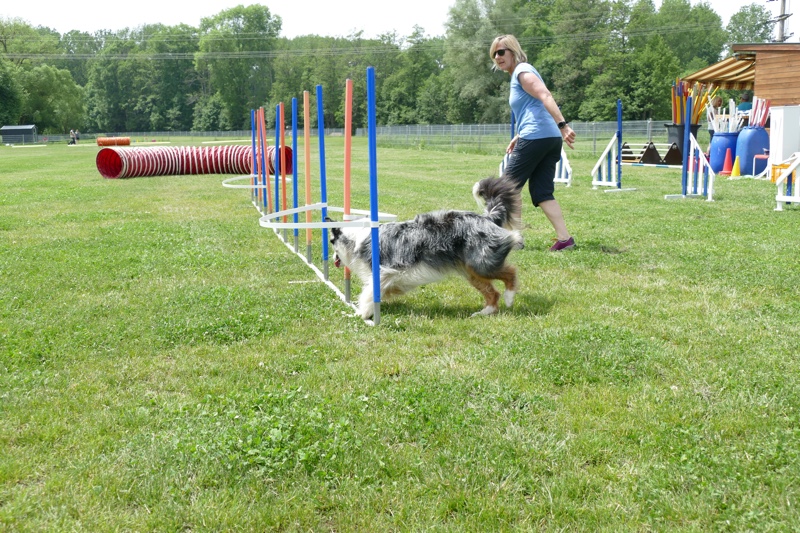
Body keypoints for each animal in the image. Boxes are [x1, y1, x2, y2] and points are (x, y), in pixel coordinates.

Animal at [330, 176, 523, 319]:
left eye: (331, 241)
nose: (332, 258)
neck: (357, 238)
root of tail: (487, 218)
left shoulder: (385, 272)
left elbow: (367, 294)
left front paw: (360, 314)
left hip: (482, 263)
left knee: (511, 273)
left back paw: (509, 298)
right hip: (471, 271)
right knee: (493, 293)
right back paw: (484, 312)